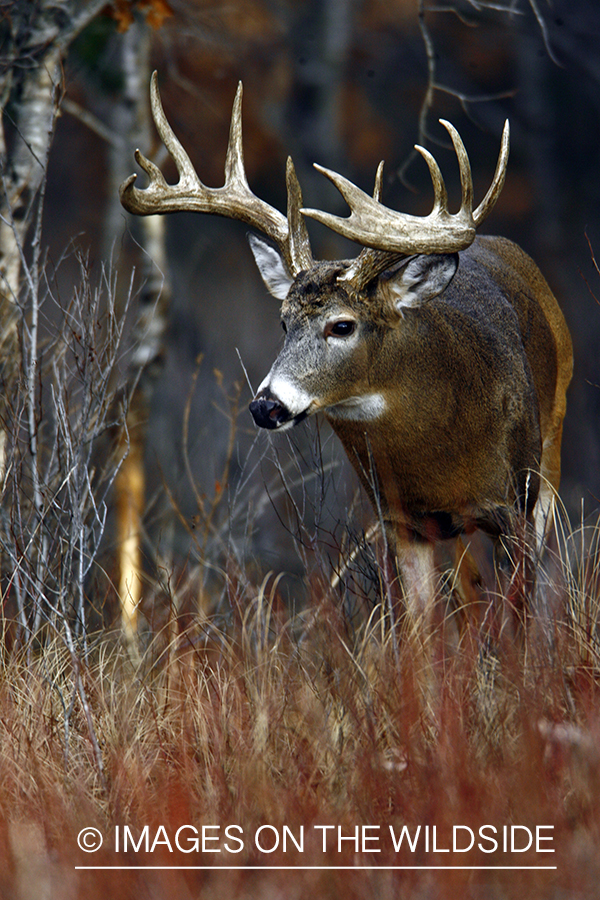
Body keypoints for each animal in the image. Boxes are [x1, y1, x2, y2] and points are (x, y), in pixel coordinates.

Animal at [120, 74, 572, 660]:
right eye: (282, 322)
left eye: (342, 325)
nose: (267, 405)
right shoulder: (401, 519)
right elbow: (420, 638)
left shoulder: (514, 502)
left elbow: (519, 622)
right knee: (469, 593)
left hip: (552, 450)